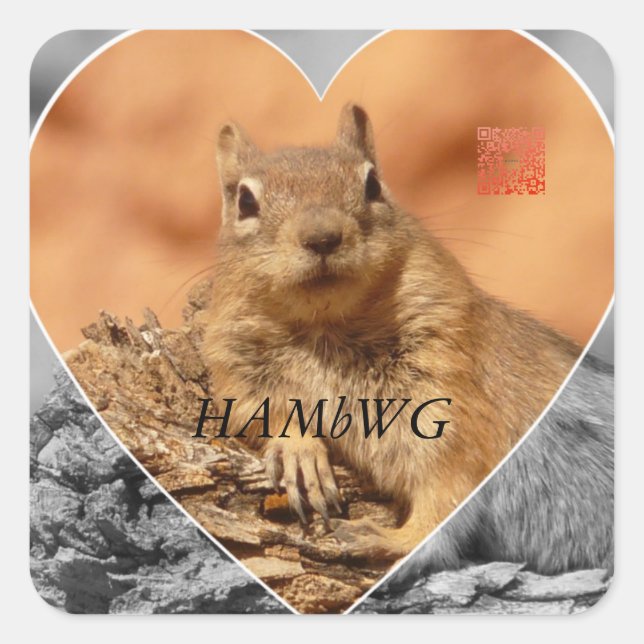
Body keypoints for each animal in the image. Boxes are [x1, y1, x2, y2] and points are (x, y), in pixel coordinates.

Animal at [202, 103, 613, 573]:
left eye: (373, 184)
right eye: (245, 201)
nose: (322, 237)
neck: (326, 329)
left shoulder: (449, 398)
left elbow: (444, 503)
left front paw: (390, 538)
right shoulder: (239, 366)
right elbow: (258, 410)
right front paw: (300, 453)